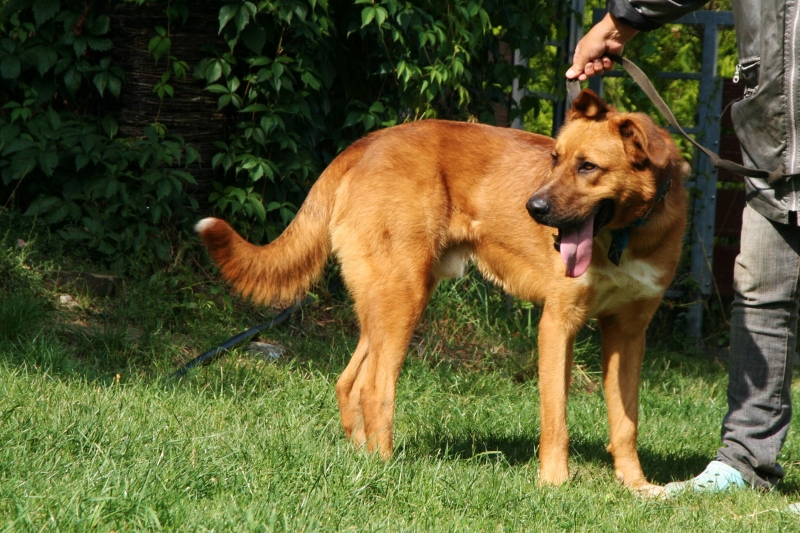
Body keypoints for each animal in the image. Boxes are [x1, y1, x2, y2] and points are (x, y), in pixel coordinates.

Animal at [196, 89, 687, 495]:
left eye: (588, 166)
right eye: (555, 159)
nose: (533, 208)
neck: (627, 236)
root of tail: (366, 143)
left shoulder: (628, 334)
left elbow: (626, 422)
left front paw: (637, 486)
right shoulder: (557, 325)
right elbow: (556, 419)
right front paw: (555, 484)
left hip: (387, 300)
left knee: (349, 382)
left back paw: (361, 459)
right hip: (404, 297)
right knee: (375, 388)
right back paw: (385, 468)